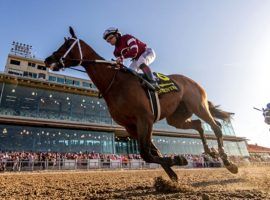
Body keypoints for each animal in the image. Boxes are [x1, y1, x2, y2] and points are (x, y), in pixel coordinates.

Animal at [44, 26, 238, 181]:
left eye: (67, 46)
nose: (48, 60)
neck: (115, 82)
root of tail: (192, 81)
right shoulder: (130, 126)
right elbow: (152, 152)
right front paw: (173, 171)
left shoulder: (145, 118)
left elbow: (147, 153)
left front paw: (177, 160)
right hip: (176, 118)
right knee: (198, 125)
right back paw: (211, 152)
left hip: (198, 105)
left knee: (216, 126)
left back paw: (228, 161)